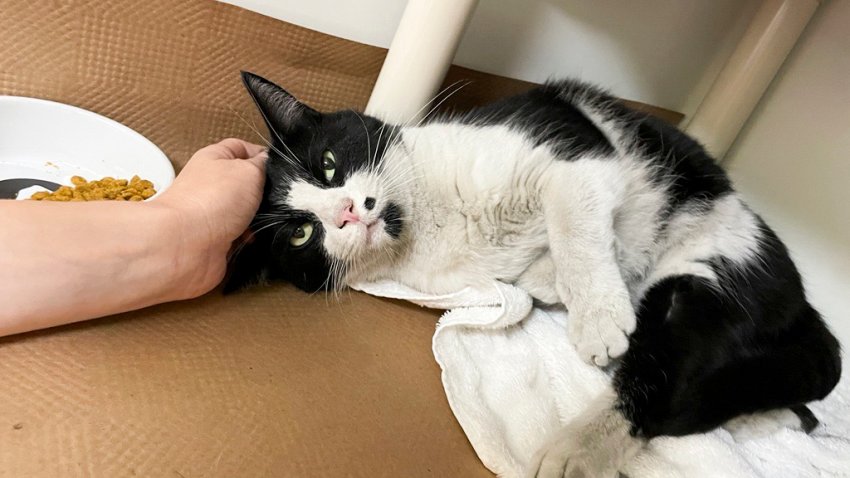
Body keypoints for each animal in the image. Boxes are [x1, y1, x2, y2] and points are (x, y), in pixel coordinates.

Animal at [229, 72, 840, 478]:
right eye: (301, 235)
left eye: (328, 165)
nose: (349, 213)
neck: (431, 219)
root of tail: (800, 302)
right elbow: (540, 269)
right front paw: (559, 279)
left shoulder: (574, 150)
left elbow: (573, 214)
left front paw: (598, 314)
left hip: (706, 270)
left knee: (674, 384)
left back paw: (574, 453)